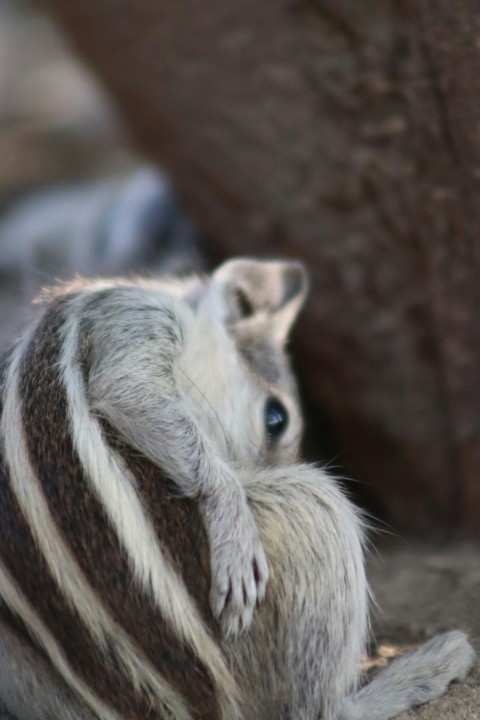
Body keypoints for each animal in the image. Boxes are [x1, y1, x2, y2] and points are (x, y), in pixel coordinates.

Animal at [0, 258, 474, 720]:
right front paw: (233, 523)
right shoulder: (130, 317)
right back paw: (420, 670)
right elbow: (127, 388)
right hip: (309, 516)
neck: (185, 308)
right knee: (316, 711)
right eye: (276, 419)